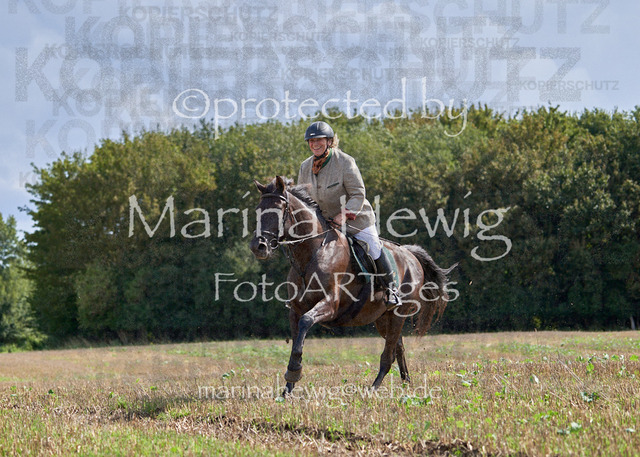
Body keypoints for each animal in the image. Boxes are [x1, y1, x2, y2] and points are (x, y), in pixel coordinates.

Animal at [249, 176, 455, 396]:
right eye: (258, 210)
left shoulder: (330, 305)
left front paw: (294, 371)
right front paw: (287, 389)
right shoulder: (295, 309)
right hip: (383, 318)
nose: (258, 246)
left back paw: (373, 388)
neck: (312, 253)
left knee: (389, 354)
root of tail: (410, 255)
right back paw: (405, 383)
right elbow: (297, 340)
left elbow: (306, 322)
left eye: (277, 210)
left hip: (398, 314)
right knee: (398, 348)